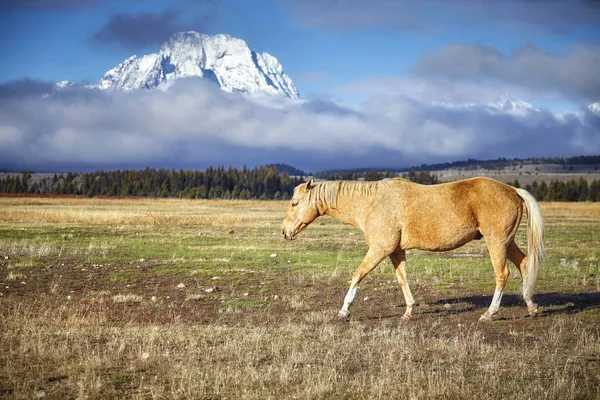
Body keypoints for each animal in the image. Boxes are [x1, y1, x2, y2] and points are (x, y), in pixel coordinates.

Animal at [282, 178, 544, 322]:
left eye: (295, 203)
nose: (284, 232)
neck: (371, 203)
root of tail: (513, 190)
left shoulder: (379, 249)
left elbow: (358, 275)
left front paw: (344, 310)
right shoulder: (395, 251)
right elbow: (402, 279)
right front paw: (409, 310)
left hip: (496, 242)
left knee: (502, 274)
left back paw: (490, 313)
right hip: (507, 242)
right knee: (524, 264)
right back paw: (531, 306)